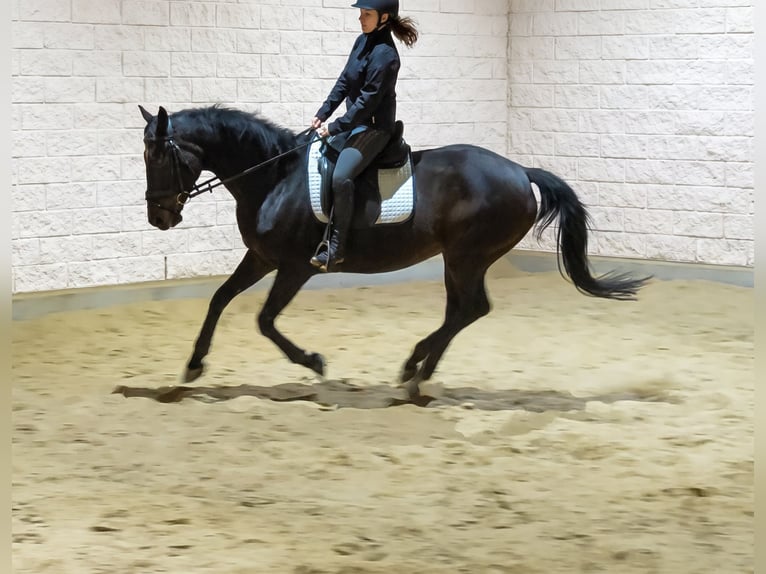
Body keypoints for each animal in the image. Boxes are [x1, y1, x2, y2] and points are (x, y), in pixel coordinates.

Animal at [139, 104, 649, 396]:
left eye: (158, 155)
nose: (158, 218)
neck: (274, 177)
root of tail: (521, 171)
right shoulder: (262, 258)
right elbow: (219, 299)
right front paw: (193, 365)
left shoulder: (296, 267)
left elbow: (264, 320)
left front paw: (314, 362)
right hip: (458, 258)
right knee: (460, 310)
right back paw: (417, 370)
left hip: (467, 256)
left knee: (471, 308)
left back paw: (415, 371)